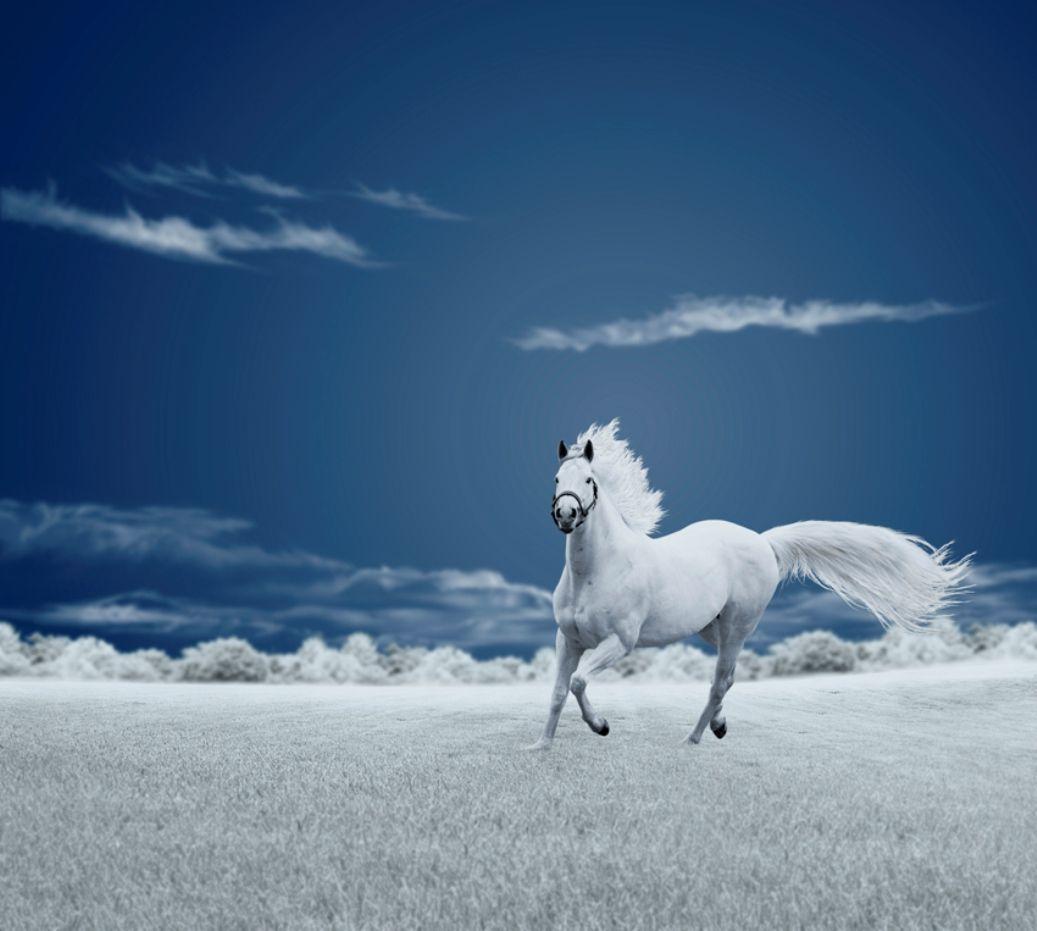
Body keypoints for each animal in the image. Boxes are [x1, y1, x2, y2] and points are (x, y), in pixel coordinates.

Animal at [529, 419, 971, 749]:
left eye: (589, 480)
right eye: (556, 479)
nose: (566, 515)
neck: (596, 571)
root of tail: (764, 541)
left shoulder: (620, 642)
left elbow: (578, 681)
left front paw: (601, 725)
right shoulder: (568, 640)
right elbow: (558, 691)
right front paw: (542, 746)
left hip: (738, 625)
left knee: (719, 681)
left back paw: (693, 739)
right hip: (714, 628)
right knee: (729, 677)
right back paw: (718, 726)